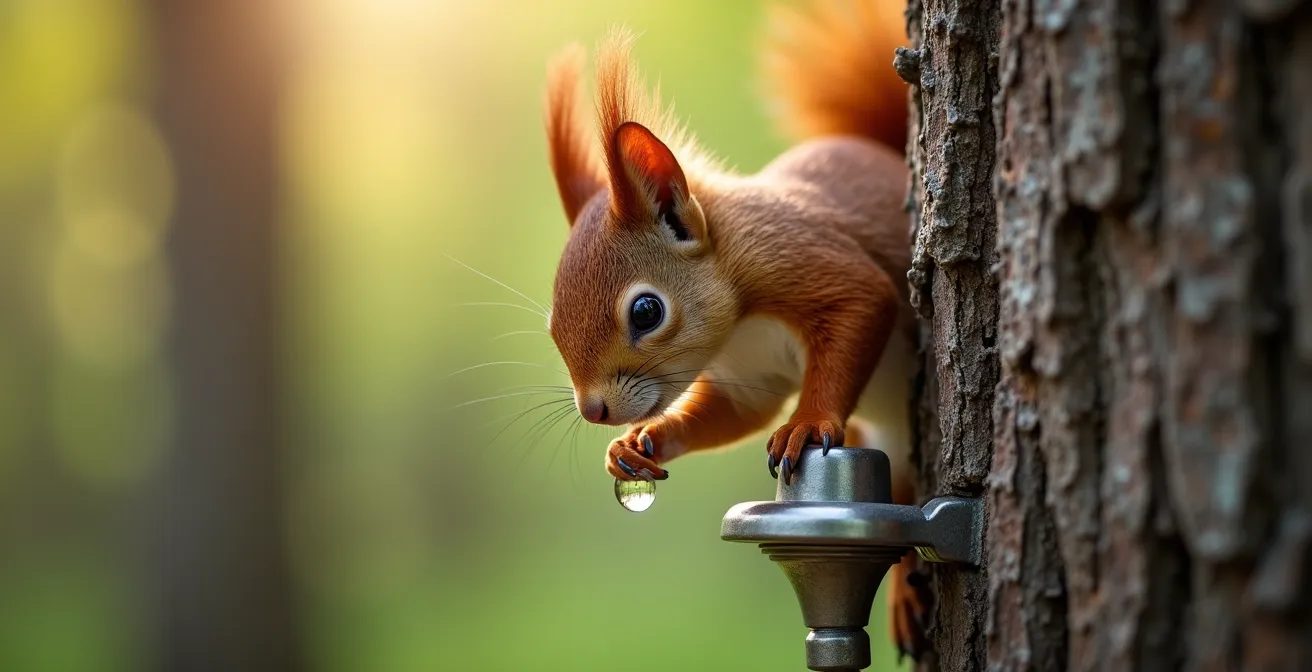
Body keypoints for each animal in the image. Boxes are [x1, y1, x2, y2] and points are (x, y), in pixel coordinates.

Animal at [542, 0, 928, 660]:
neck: (739, 326)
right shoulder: (749, 377)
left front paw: (807, 424)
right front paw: (636, 445)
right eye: (551, 327)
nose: (595, 412)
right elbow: (738, 413)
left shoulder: (798, 257)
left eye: (646, 312)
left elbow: (861, 301)